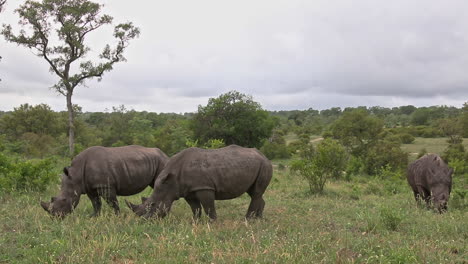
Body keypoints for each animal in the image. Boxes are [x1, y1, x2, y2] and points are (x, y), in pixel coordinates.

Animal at [40, 145, 168, 218]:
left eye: (64, 200)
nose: (55, 217)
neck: (76, 175)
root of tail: (164, 154)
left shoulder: (106, 186)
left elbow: (113, 203)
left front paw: (117, 217)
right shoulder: (90, 187)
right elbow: (96, 203)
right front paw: (94, 217)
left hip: (161, 161)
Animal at [127, 145, 274, 220]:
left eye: (152, 204)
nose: (145, 220)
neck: (170, 182)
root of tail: (264, 155)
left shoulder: (204, 187)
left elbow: (208, 207)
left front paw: (212, 223)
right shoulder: (186, 190)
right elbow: (195, 208)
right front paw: (195, 222)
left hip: (264, 165)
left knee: (256, 193)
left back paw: (247, 220)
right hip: (256, 165)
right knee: (254, 192)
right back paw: (258, 219)